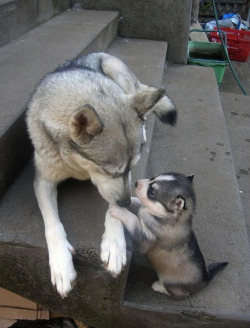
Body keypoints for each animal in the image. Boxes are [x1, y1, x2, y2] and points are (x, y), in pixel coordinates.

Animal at [26, 52, 177, 298]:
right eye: (108, 171)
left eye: (130, 168)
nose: (127, 202)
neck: (77, 166)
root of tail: (98, 53)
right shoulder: (43, 182)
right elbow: (52, 224)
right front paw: (61, 263)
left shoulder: (123, 182)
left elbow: (113, 208)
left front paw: (114, 244)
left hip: (118, 73)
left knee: (141, 105)